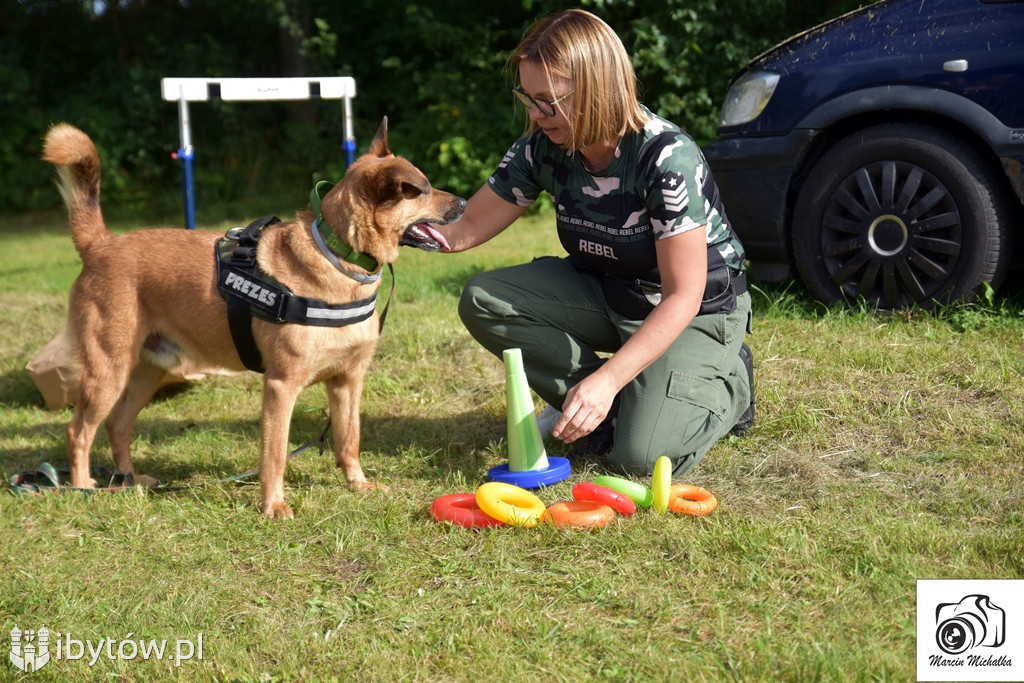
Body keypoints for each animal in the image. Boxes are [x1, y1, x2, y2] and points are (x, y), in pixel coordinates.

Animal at [43, 117, 464, 518]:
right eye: (423, 190)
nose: (462, 202)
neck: (338, 256)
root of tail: (101, 244)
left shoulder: (348, 381)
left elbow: (349, 440)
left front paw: (357, 485)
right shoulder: (281, 387)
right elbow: (275, 455)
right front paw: (273, 506)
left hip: (148, 372)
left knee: (117, 425)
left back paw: (129, 481)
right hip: (107, 372)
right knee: (78, 431)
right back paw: (82, 487)